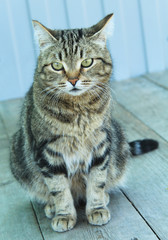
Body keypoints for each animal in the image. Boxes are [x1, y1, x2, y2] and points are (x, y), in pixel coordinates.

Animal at [9, 13, 158, 232]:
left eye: (87, 62)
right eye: (57, 65)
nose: (73, 80)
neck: (78, 113)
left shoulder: (101, 145)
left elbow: (97, 182)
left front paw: (96, 208)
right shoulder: (48, 153)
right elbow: (59, 189)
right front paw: (63, 214)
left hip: (119, 140)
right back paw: (51, 207)